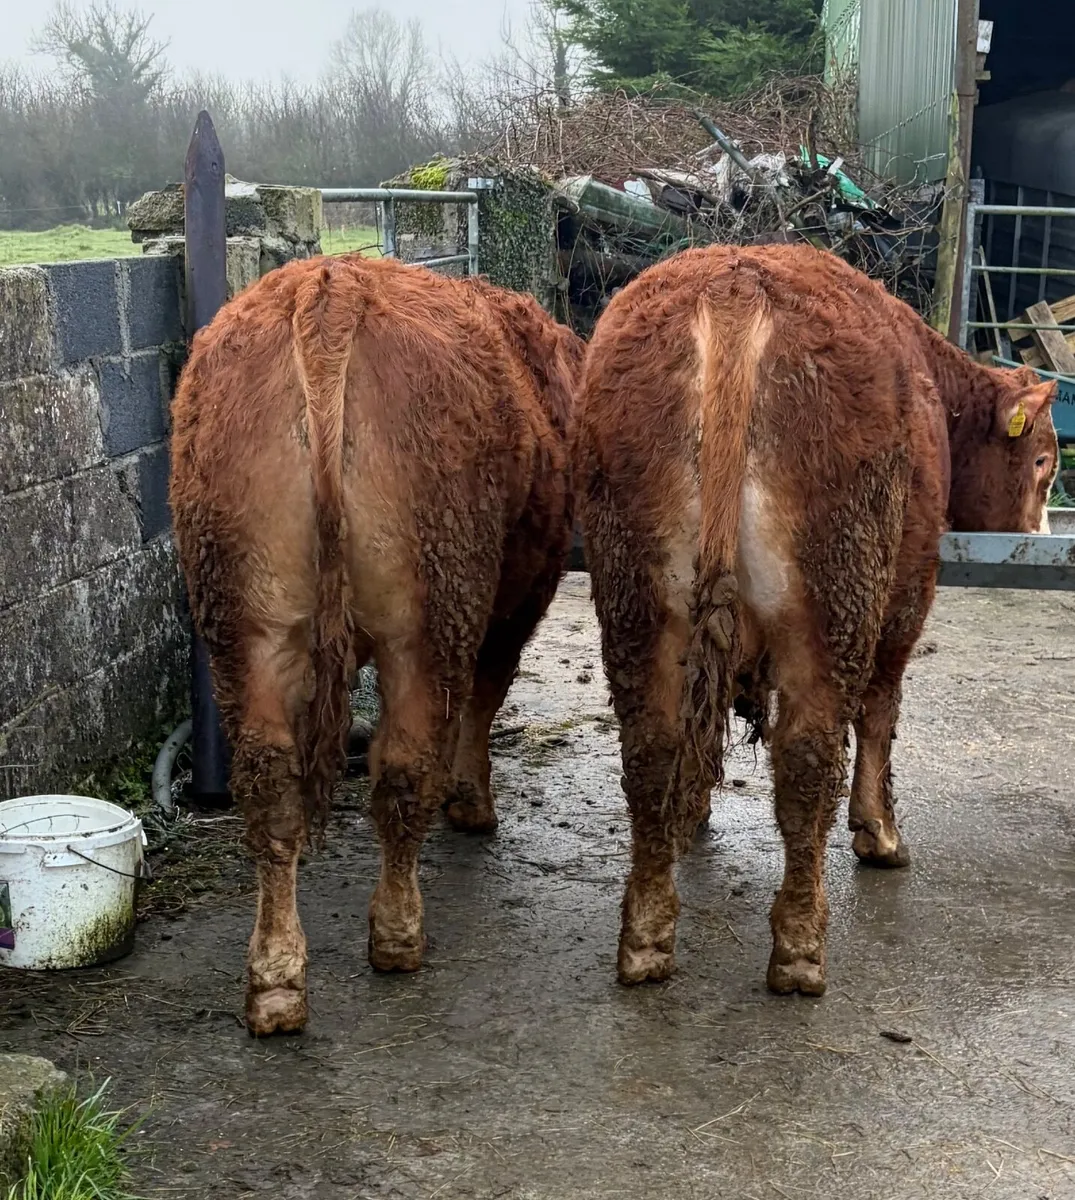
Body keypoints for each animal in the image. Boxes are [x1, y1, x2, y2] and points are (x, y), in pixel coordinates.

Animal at [170, 254, 582, 1035]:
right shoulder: (515, 602)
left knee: (268, 784)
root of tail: (330, 290)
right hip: (428, 613)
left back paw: (275, 982)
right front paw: (470, 801)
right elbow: (483, 700)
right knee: (401, 767)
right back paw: (397, 935)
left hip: (245, 621)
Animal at [576, 243, 1057, 998]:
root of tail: (735, 285)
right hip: (836, 599)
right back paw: (800, 947)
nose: (1039, 533)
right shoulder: (906, 593)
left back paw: (646, 938)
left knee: (651, 747)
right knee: (807, 757)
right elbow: (882, 710)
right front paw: (878, 830)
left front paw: (693, 813)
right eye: (1042, 461)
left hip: (635, 598)